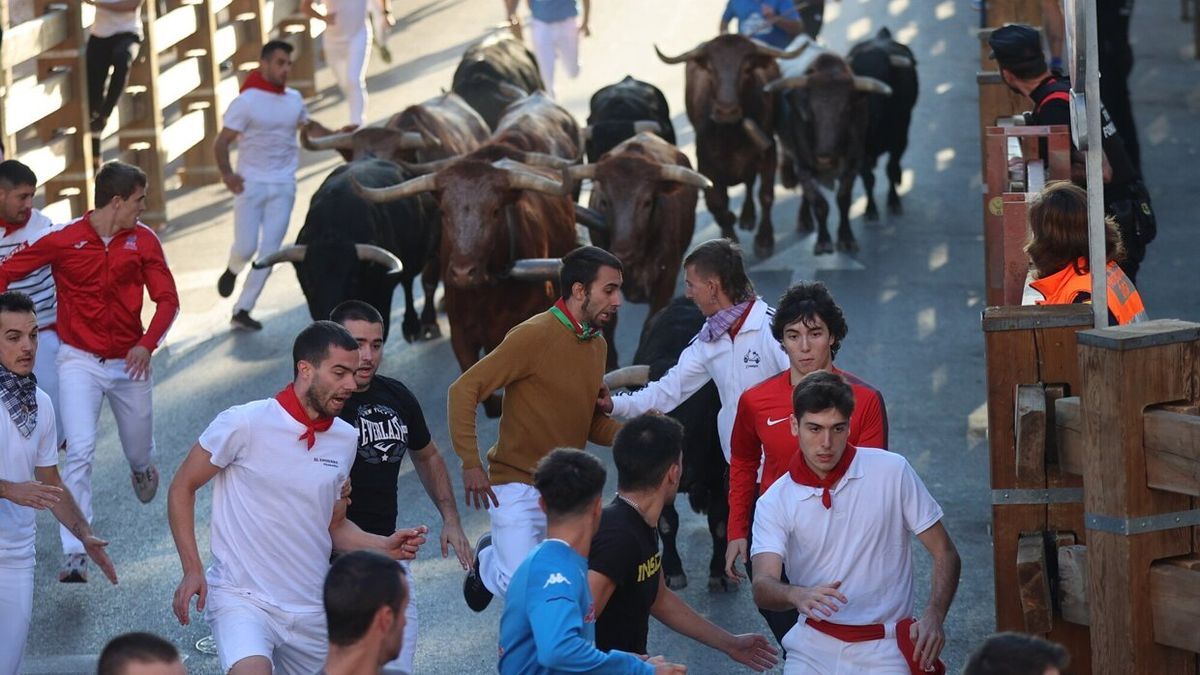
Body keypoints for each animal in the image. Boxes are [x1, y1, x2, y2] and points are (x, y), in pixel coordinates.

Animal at [657, 33, 796, 260]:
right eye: (710, 68)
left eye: (747, 67)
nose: (726, 110)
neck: (731, 135)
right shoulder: (706, 165)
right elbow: (719, 206)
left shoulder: (769, 153)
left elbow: (765, 195)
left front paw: (764, 240)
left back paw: (748, 216)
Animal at [768, 39, 892, 254]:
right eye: (810, 111)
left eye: (846, 110)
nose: (823, 156)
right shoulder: (804, 167)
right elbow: (820, 204)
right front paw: (824, 241)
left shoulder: (852, 166)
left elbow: (843, 201)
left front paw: (846, 238)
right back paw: (804, 219)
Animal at [844, 27, 916, 218]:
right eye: (856, 75)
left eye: (884, 73)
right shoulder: (859, 149)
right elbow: (868, 177)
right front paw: (870, 209)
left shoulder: (900, 139)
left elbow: (890, 168)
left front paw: (893, 201)